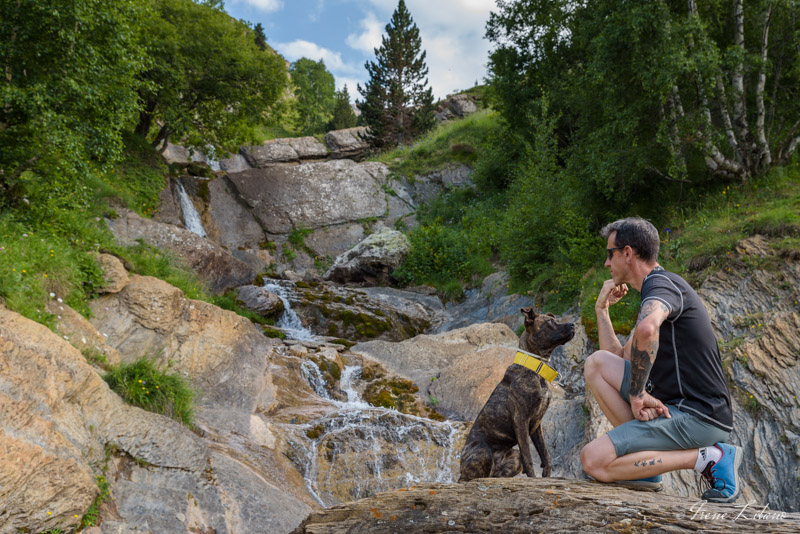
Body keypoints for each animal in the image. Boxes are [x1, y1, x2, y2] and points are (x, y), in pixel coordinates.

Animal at [456, 308, 576, 484]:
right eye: (550, 322)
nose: (573, 324)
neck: (535, 368)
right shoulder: (521, 420)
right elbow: (528, 457)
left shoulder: (536, 424)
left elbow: (545, 455)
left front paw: (546, 476)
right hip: (482, 449)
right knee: (468, 479)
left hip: (513, 458)